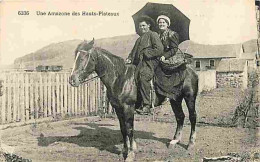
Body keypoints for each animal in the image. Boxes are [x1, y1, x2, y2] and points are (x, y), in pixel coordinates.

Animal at [69, 39, 199, 161]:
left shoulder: (128, 108)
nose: (72, 80)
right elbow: (123, 130)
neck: (120, 78)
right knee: (180, 117)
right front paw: (124, 151)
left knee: (192, 117)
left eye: (83, 57)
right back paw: (174, 141)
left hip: (189, 97)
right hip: (175, 100)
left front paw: (130, 154)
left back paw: (191, 144)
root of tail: (190, 69)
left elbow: (129, 129)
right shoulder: (118, 109)